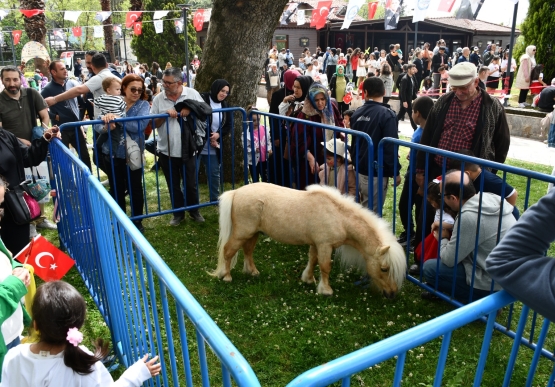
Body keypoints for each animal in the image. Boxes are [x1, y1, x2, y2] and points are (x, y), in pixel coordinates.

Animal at [211, 183, 406, 298]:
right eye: (384, 268)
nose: (392, 294)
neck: (339, 217)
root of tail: (236, 192)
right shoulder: (325, 245)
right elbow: (325, 266)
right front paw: (325, 290)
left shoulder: (315, 244)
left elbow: (313, 260)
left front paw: (308, 279)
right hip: (242, 233)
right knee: (228, 251)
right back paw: (226, 276)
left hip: (253, 233)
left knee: (248, 251)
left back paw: (252, 272)